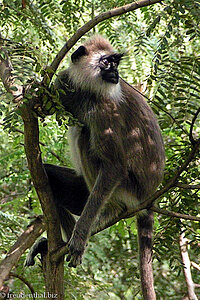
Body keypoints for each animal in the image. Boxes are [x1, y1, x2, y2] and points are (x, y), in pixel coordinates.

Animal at [25, 34, 165, 292]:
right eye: (107, 62)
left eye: (115, 63)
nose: (116, 73)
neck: (87, 89)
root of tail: (149, 195)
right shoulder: (65, 82)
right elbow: (43, 108)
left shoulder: (105, 107)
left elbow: (115, 166)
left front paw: (80, 238)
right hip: (84, 192)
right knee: (49, 176)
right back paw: (59, 243)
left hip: (126, 191)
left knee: (84, 135)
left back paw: (107, 214)